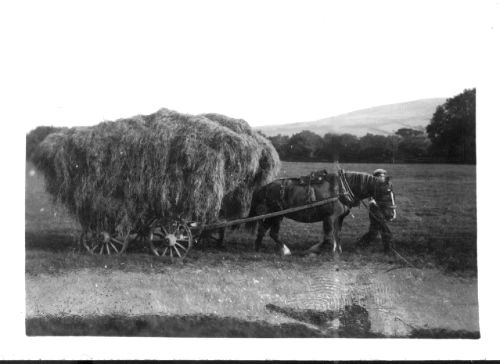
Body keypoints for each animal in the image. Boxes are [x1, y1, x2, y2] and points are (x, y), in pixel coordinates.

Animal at [244, 170, 396, 256]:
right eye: (387, 192)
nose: (392, 215)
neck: (341, 189)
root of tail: (265, 187)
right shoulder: (329, 217)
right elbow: (328, 237)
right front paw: (318, 250)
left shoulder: (339, 218)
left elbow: (337, 234)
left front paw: (337, 250)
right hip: (276, 214)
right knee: (271, 232)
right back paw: (284, 250)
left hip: (275, 215)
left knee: (264, 231)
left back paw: (258, 249)